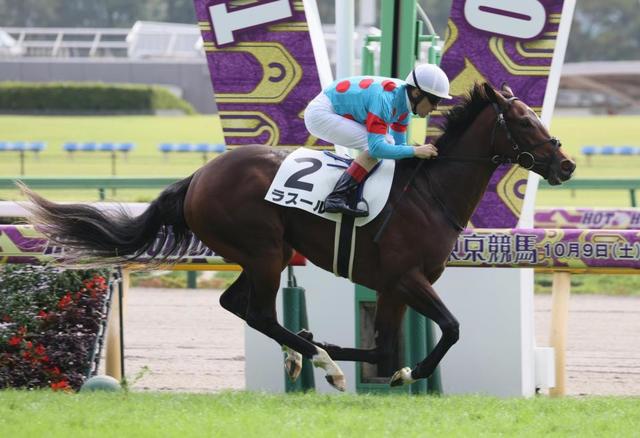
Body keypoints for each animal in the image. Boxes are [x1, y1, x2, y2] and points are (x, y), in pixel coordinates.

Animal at [21, 83, 576, 391]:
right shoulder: (407, 277)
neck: (429, 193)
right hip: (263, 250)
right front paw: (399, 372)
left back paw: (305, 353)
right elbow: (452, 329)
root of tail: (197, 177)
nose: (567, 164)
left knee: (236, 304)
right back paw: (320, 362)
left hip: (260, 253)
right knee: (260, 313)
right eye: (524, 121)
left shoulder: (394, 287)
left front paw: (351, 355)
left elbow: (383, 352)